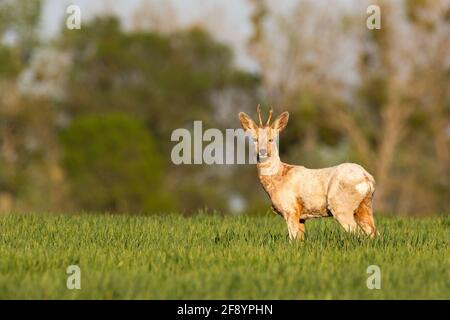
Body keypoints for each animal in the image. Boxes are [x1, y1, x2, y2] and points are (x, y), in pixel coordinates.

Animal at [239, 105, 376, 240]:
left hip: (341, 204)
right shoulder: (301, 217)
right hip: (365, 206)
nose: (262, 152)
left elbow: (292, 239)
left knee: (358, 233)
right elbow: (299, 240)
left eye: (271, 139)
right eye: (255, 139)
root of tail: (367, 177)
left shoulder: (290, 209)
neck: (278, 178)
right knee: (373, 232)